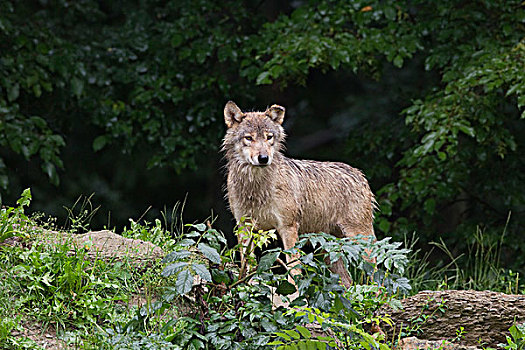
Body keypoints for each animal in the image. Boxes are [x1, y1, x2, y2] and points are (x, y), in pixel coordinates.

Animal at [222, 100, 376, 286]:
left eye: (269, 137)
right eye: (249, 138)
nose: (264, 158)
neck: (256, 188)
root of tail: (359, 174)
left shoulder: (288, 227)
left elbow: (293, 266)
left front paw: (293, 293)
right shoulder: (244, 226)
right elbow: (247, 262)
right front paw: (246, 286)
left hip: (360, 240)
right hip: (329, 251)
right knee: (347, 281)